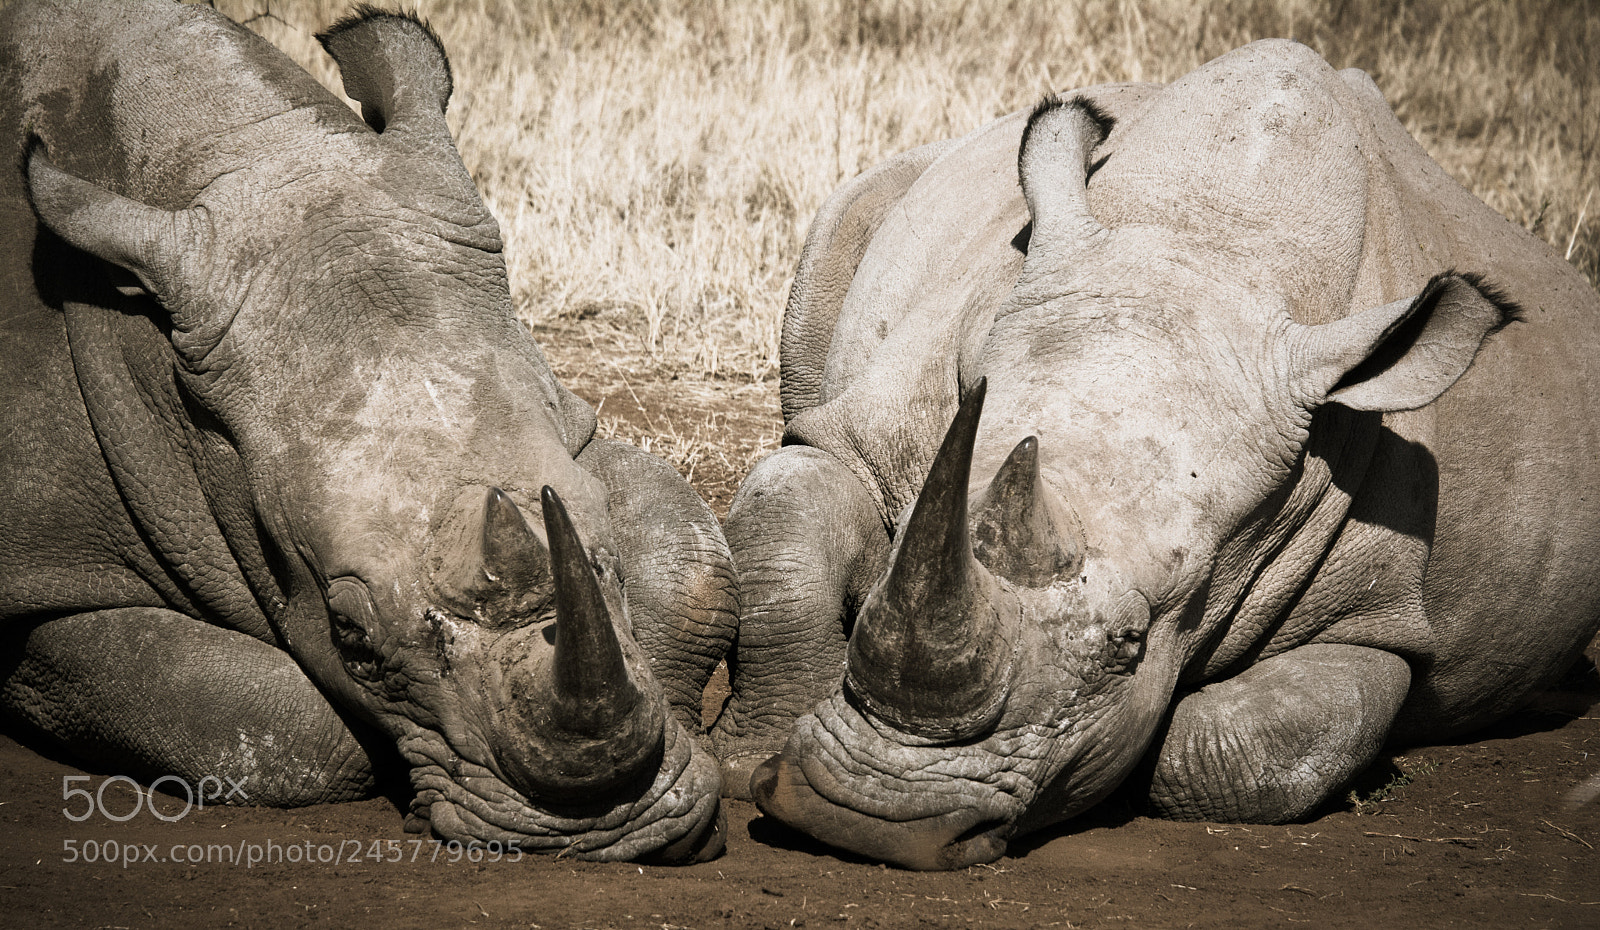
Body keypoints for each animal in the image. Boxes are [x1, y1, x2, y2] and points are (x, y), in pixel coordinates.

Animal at [0, 0, 735, 863]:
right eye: (349, 638)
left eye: (607, 551)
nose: (611, 834)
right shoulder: (44, 562)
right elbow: (290, 729)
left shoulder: (568, 417)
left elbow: (688, 555)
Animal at [709, 39, 1600, 869]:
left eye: (1130, 644)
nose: (865, 817)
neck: (1211, 241)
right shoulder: (864, 435)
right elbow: (786, 542)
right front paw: (746, 760)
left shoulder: (1376, 611)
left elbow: (1243, 748)